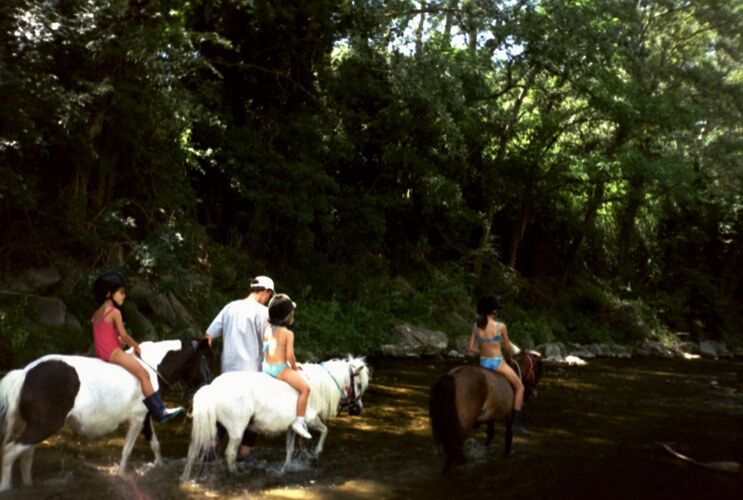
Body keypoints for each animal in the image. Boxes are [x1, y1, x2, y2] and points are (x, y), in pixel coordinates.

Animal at [1, 338, 214, 490]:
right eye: (202, 360)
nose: (207, 383)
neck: (152, 369)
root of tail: (24, 374)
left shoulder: (145, 417)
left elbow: (155, 444)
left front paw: (160, 466)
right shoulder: (137, 418)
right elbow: (127, 450)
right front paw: (121, 476)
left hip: (34, 426)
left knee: (25, 456)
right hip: (44, 426)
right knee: (9, 452)